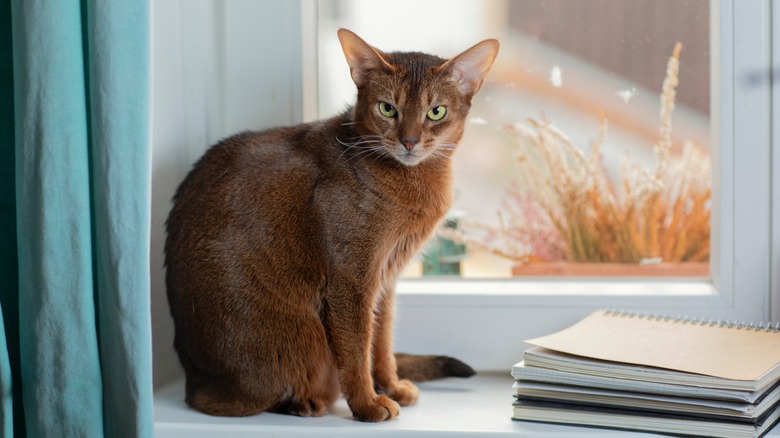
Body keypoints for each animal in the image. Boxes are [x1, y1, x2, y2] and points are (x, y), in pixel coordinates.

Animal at [165, 26, 500, 420]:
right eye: (387, 108)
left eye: (436, 112)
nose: (409, 141)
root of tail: (192, 376)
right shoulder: (350, 280)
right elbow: (356, 350)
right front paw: (368, 404)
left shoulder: (385, 279)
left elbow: (381, 341)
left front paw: (391, 386)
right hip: (297, 341)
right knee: (223, 401)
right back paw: (304, 401)